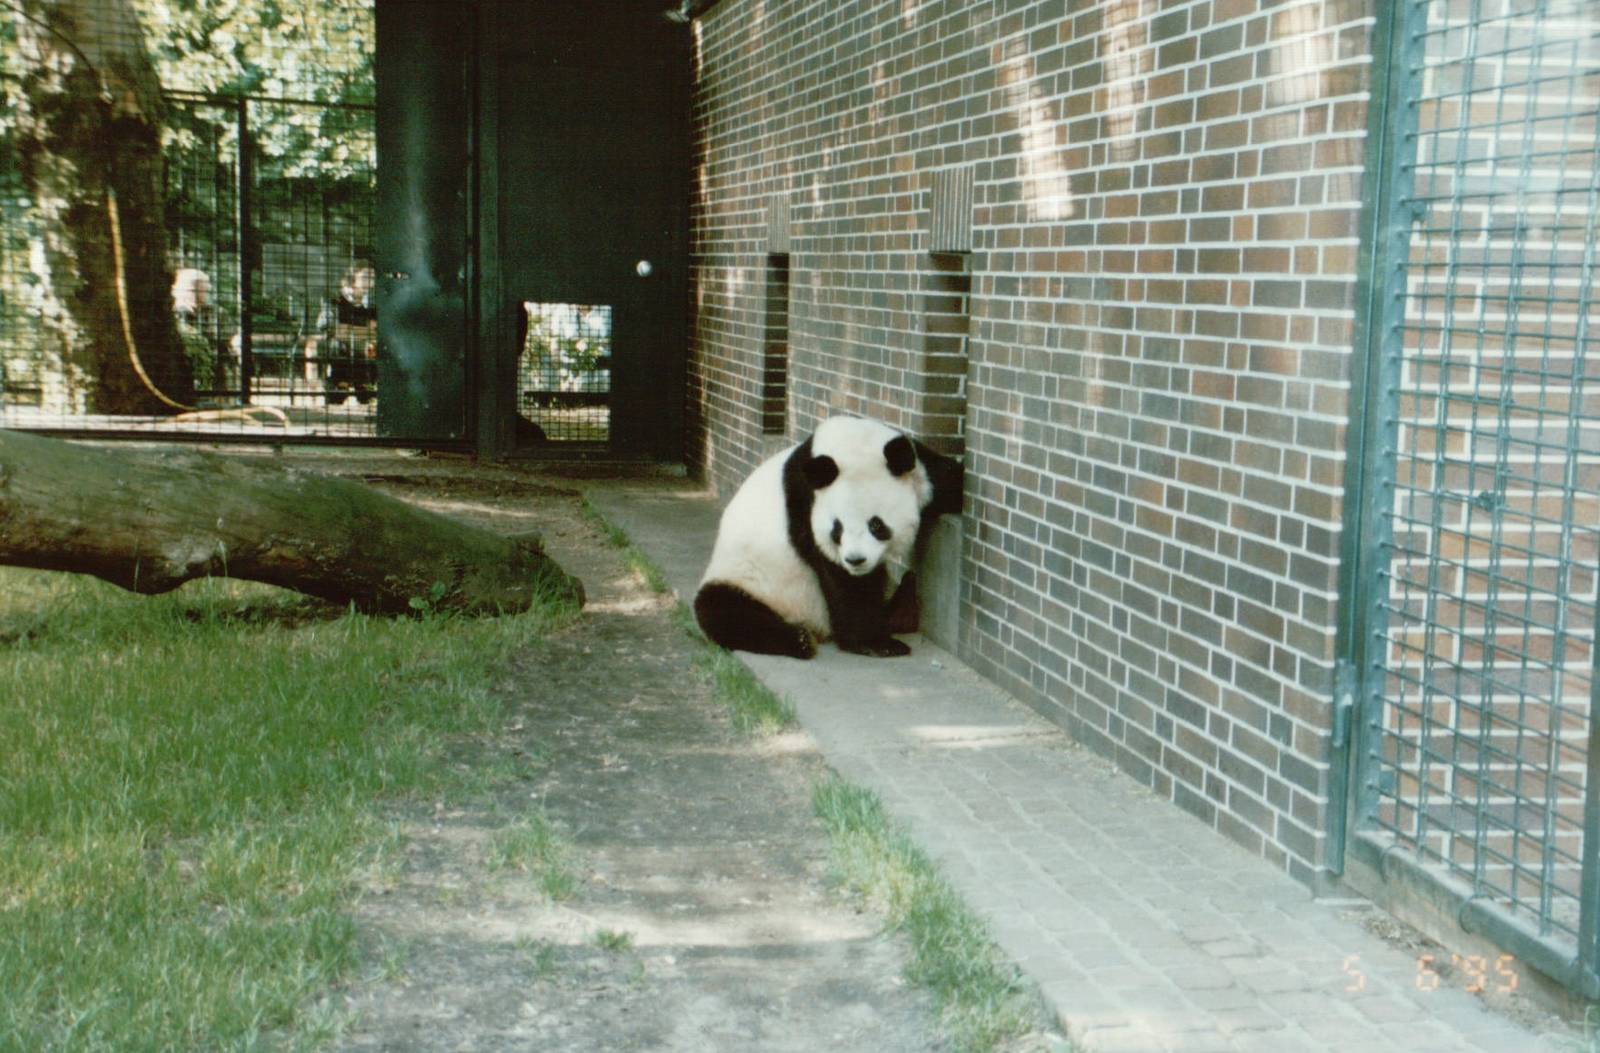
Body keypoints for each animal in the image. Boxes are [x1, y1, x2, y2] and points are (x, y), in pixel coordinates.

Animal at [693, 415, 963, 659]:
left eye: (876, 525)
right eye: (837, 529)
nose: (855, 560)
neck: (848, 444)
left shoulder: (921, 472)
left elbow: (951, 481)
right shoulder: (805, 505)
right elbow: (840, 579)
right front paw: (877, 643)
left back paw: (902, 609)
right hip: (749, 580)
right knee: (724, 611)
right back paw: (799, 640)